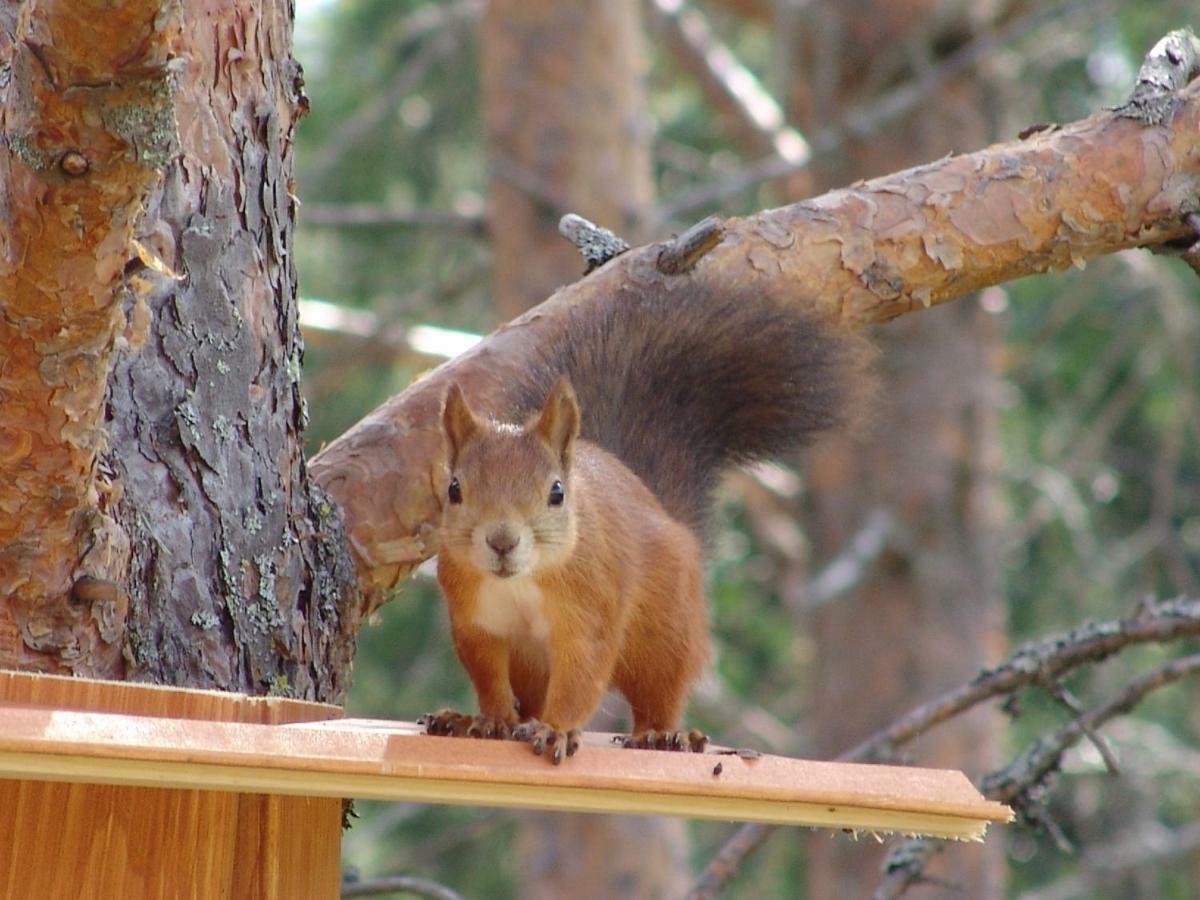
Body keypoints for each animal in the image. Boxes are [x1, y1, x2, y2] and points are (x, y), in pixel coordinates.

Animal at [424, 280, 873, 763]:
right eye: (454, 489)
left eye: (557, 492)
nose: (502, 542)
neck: (520, 582)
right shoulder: (475, 622)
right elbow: (488, 675)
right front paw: (491, 720)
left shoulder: (592, 608)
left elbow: (581, 675)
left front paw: (557, 730)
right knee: (530, 699)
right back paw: (487, 720)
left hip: (667, 631)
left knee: (659, 692)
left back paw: (662, 735)